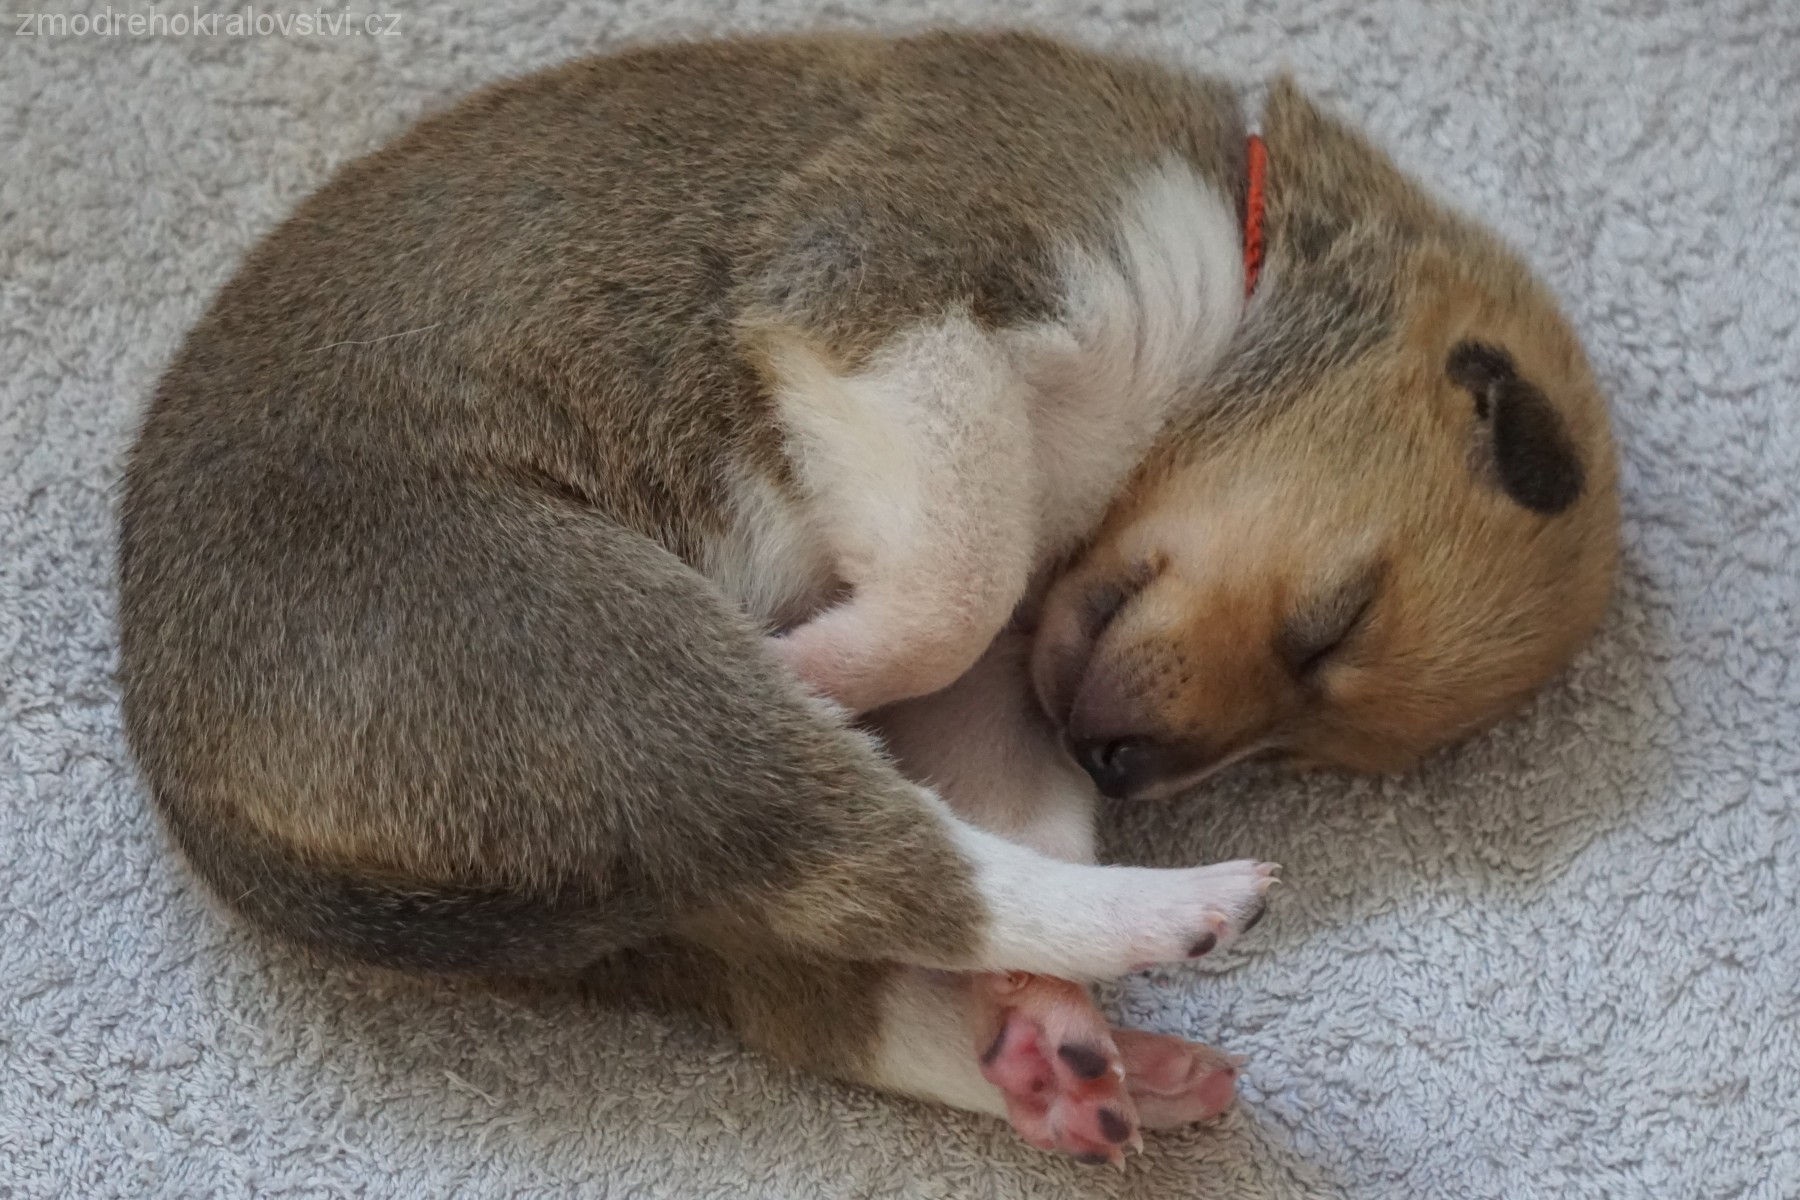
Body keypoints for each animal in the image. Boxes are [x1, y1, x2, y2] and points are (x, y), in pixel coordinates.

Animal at [116, 30, 1619, 1165]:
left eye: (1307, 746)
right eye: (1333, 625)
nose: (1121, 767)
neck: (1243, 250)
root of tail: (192, 793)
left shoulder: (1012, 679)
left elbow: (994, 712)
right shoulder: (909, 294)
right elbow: (954, 582)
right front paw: (828, 656)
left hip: (625, 902)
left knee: (851, 948)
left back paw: (1062, 1049)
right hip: (575, 642)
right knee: (888, 857)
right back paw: (1161, 908)